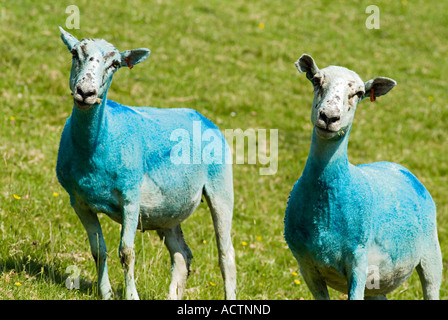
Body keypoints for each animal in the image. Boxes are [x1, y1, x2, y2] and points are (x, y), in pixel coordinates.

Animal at [56, 27, 238, 300]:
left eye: (115, 64)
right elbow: (98, 250)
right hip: (169, 209)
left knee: (226, 256)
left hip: (221, 187)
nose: (85, 93)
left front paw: (131, 295)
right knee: (182, 256)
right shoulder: (79, 201)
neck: (98, 142)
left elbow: (126, 252)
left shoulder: (131, 198)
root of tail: (201, 117)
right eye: (75, 53)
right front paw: (105, 293)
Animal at [286, 53, 442, 300]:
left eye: (358, 93)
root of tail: (398, 166)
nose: (329, 117)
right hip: (377, 282)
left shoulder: (358, 261)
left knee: (432, 284)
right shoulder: (307, 267)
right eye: (317, 81)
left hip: (431, 253)